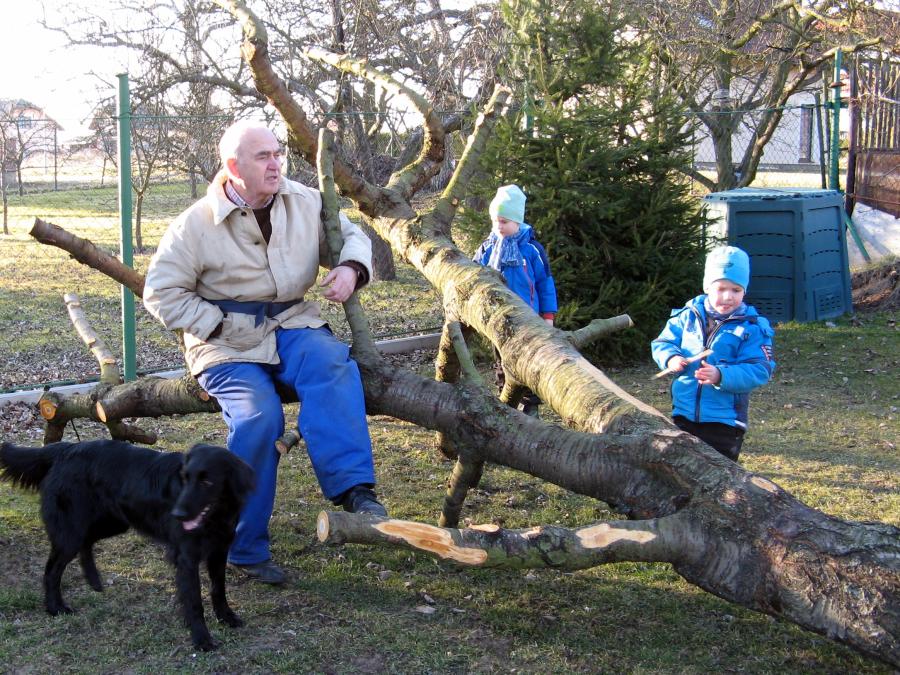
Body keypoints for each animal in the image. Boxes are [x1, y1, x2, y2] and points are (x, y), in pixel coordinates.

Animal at [0, 440, 253, 652]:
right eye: (185, 478)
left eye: (207, 481)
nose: (177, 515)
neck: (215, 516)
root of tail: (65, 448)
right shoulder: (186, 558)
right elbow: (194, 602)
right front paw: (201, 639)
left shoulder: (219, 551)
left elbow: (218, 589)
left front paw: (226, 617)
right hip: (72, 533)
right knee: (52, 570)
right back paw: (55, 608)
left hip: (114, 523)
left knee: (86, 543)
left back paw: (93, 581)